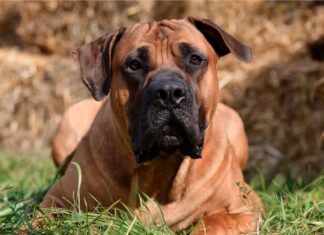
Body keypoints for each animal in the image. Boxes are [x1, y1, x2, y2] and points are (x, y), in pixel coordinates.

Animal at [41, 17, 264, 234]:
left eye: (194, 59)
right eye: (134, 65)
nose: (169, 92)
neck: (160, 166)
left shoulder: (244, 210)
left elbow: (213, 223)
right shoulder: (56, 201)